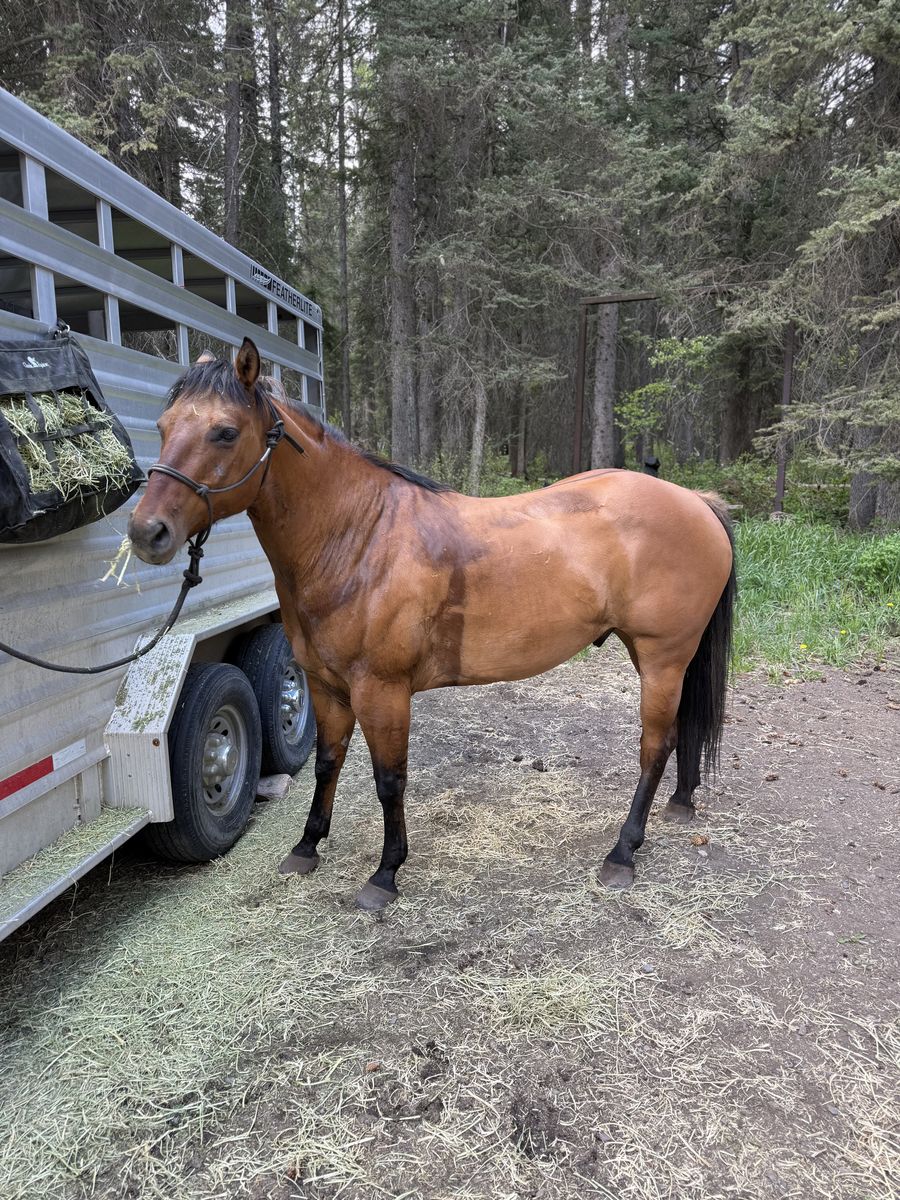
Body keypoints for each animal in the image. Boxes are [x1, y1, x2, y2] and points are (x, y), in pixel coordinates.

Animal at [128, 339, 736, 911]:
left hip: (661, 657)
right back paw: (679, 805)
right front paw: (306, 847)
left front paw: (385, 874)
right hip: (665, 659)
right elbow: (327, 763)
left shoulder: (382, 692)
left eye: (225, 432)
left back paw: (623, 852)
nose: (146, 532)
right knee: (680, 732)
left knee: (654, 746)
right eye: (162, 426)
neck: (358, 537)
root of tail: (695, 501)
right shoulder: (326, 687)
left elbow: (389, 779)